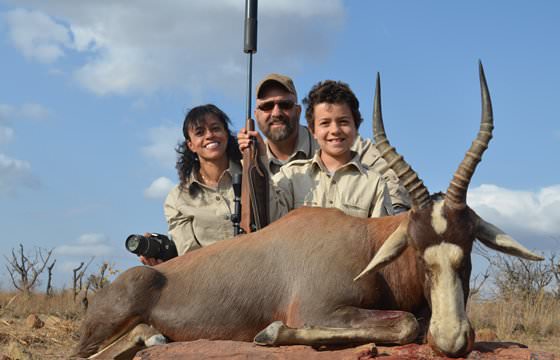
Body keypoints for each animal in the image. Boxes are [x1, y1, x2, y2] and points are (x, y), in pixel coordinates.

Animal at [74, 63, 544, 358]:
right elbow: (406, 323)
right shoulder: (318, 309)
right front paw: (269, 333)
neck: (364, 241)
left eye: (468, 248)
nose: (452, 341)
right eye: (415, 247)